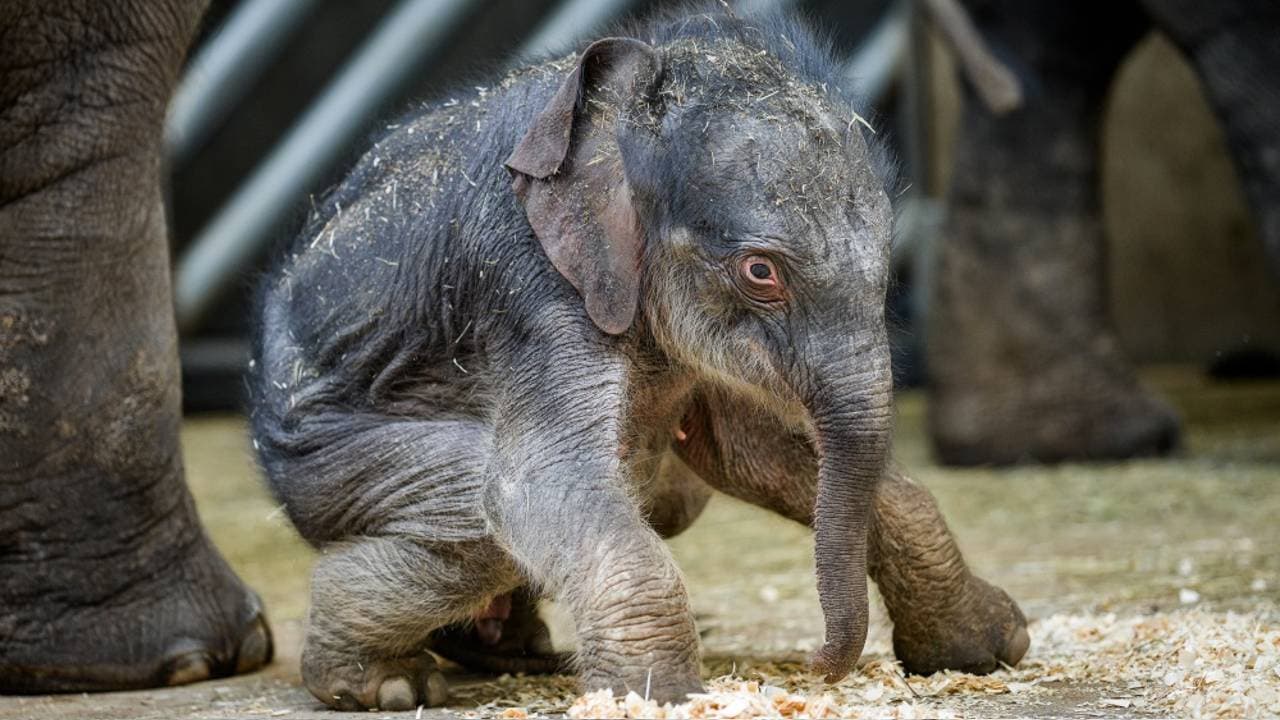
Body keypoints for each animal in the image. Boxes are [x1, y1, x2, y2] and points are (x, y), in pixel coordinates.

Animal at [249, 5, 1029, 707]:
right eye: (760, 272)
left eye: (888, 272)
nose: (815, 664)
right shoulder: (529, 281)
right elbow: (539, 482)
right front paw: (662, 695)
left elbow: (756, 452)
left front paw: (992, 647)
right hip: (325, 466)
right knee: (474, 523)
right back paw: (383, 681)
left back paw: (506, 651)